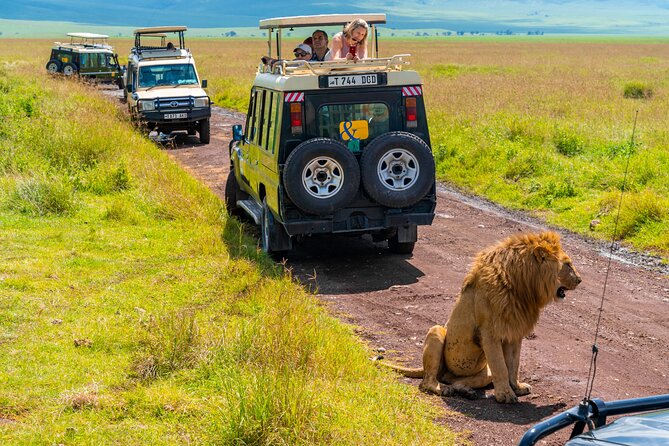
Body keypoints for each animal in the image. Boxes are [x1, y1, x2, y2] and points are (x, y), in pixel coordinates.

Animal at [385, 231, 582, 403]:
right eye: (568, 265)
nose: (580, 280)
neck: (523, 288)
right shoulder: (489, 333)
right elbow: (501, 367)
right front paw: (506, 396)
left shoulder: (514, 331)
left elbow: (513, 365)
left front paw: (517, 388)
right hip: (436, 331)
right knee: (428, 382)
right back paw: (445, 389)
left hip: (483, 373)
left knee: (457, 381)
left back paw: (466, 391)